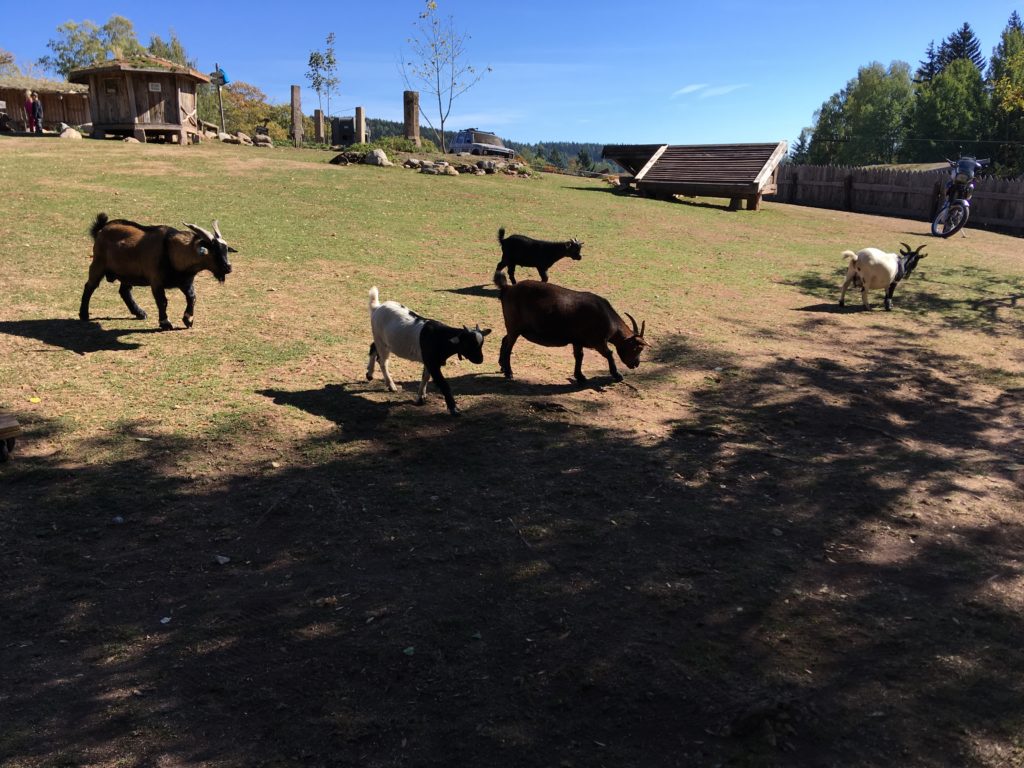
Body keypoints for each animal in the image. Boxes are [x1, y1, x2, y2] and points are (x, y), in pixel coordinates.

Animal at [80, 214, 236, 331]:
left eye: (226, 250)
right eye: (214, 251)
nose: (228, 268)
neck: (171, 251)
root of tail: (101, 229)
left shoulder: (185, 282)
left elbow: (192, 297)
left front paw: (188, 320)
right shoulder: (156, 281)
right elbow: (162, 301)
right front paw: (165, 323)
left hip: (127, 274)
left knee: (124, 291)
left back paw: (140, 312)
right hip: (98, 264)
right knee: (90, 286)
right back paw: (84, 315)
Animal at [368, 286, 491, 415]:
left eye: (481, 344)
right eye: (468, 344)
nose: (480, 360)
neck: (440, 337)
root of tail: (377, 307)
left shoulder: (428, 361)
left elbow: (425, 377)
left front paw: (421, 398)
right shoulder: (433, 363)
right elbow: (443, 384)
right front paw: (453, 409)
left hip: (382, 340)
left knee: (373, 347)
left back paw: (370, 374)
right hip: (381, 341)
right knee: (382, 361)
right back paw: (391, 385)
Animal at [493, 268, 647, 382]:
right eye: (637, 348)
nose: (636, 364)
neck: (607, 317)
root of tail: (507, 288)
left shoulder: (577, 340)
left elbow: (579, 356)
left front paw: (580, 376)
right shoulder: (597, 341)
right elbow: (609, 353)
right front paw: (617, 375)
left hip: (513, 328)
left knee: (504, 340)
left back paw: (502, 366)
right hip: (514, 327)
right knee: (508, 347)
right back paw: (509, 372)